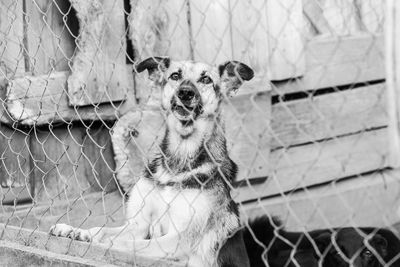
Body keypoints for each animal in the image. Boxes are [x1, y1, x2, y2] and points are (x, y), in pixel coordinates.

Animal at [49, 55, 253, 266]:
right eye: (175, 75)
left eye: (206, 79)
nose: (185, 93)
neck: (177, 163)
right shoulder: (139, 225)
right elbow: (104, 231)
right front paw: (77, 231)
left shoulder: (179, 240)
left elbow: (125, 244)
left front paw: (96, 242)